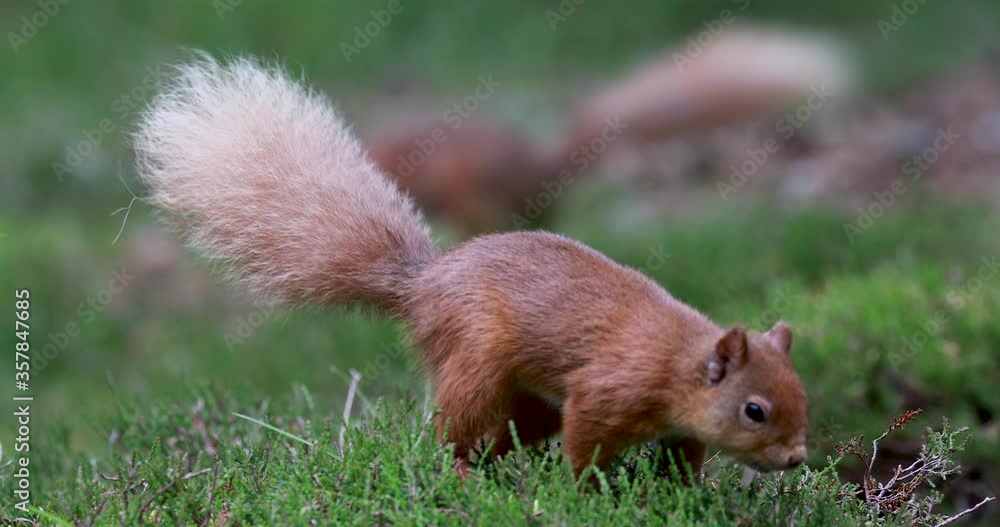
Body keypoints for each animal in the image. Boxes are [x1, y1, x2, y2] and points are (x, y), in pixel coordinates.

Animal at [135, 56, 808, 481]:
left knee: (514, 431)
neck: (676, 360)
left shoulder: (677, 428)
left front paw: (681, 495)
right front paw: (590, 493)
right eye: (754, 410)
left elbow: (680, 460)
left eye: (801, 393)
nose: (798, 458)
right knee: (453, 430)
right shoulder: (604, 392)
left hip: (525, 391)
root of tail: (425, 284)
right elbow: (585, 448)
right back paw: (462, 471)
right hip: (477, 358)